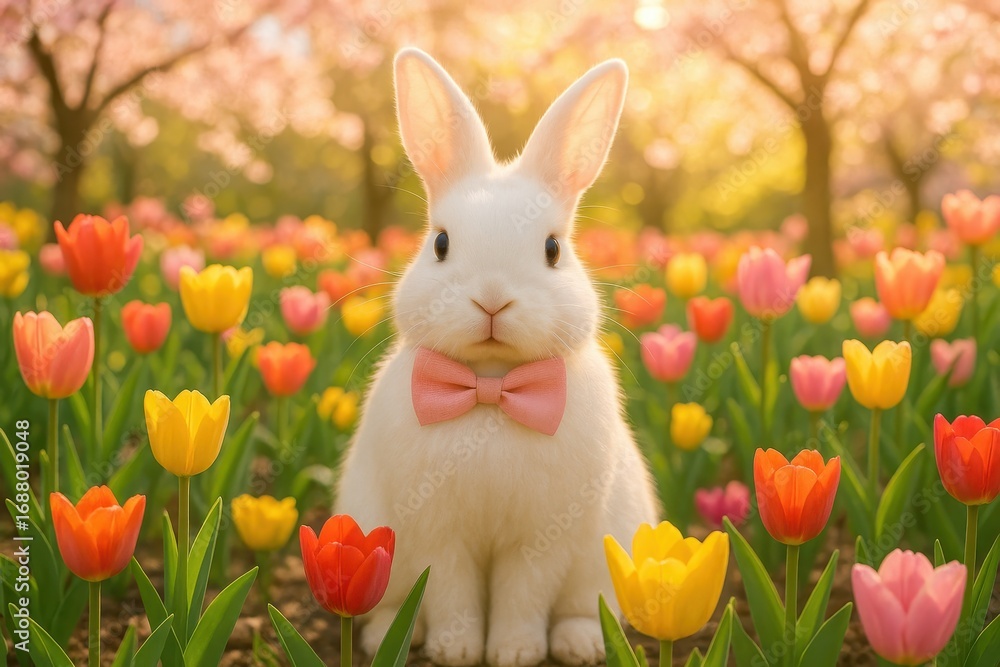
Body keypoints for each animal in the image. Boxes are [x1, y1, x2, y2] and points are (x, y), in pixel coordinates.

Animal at [334, 47, 659, 667]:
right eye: (440, 243)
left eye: (553, 249)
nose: (492, 299)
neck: (490, 386)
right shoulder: (437, 531)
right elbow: (450, 588)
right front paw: (458, 650)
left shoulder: (541, 537)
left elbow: (523, 593)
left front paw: (513, 651)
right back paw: (388, 636)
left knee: (583, 607)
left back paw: (581, 644)